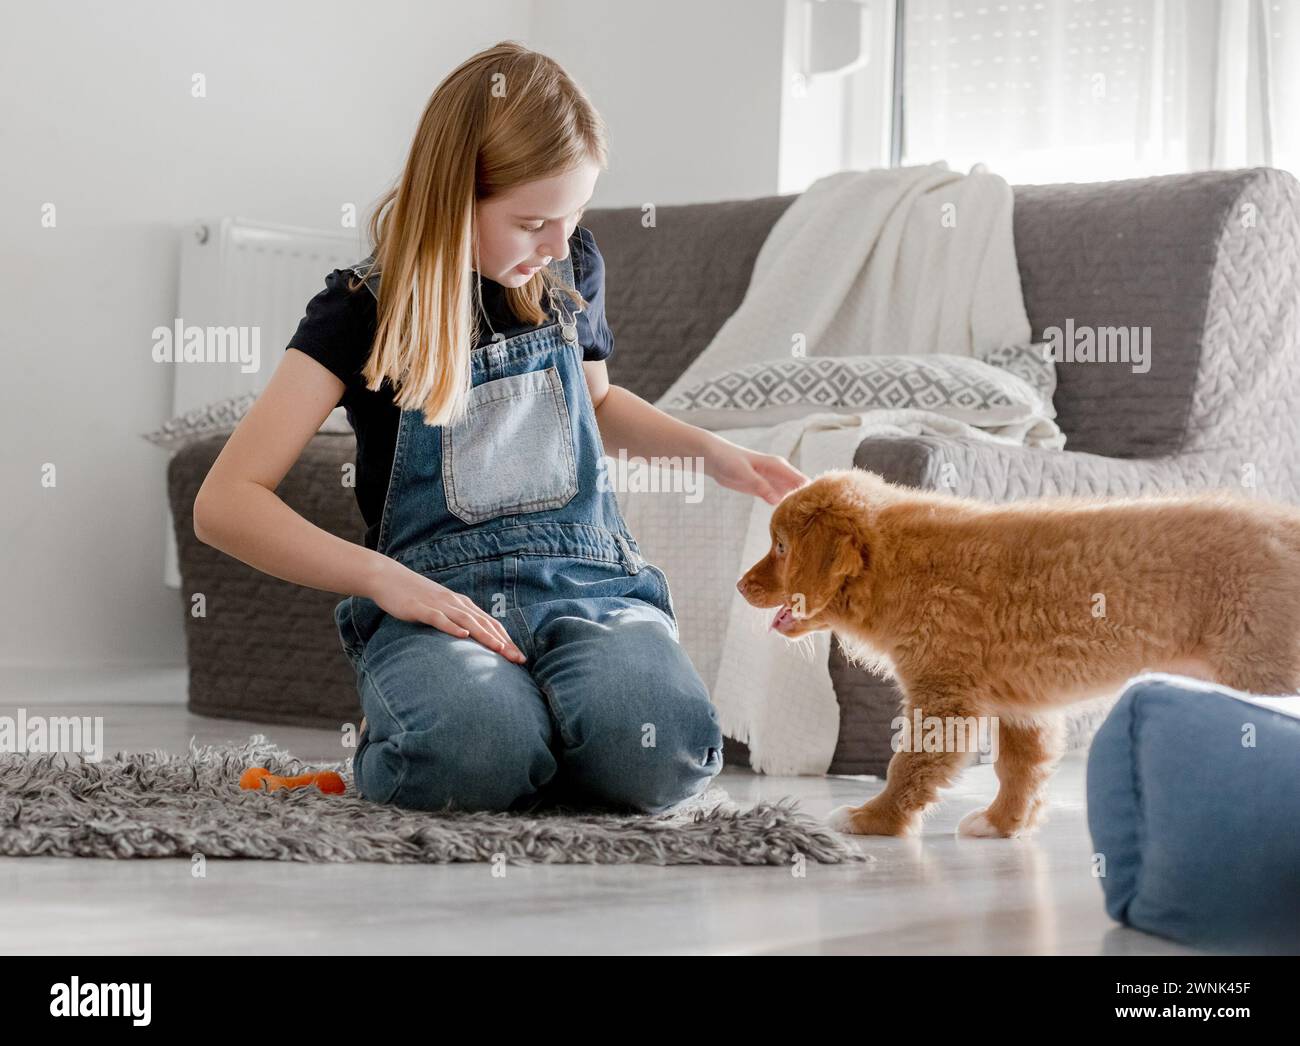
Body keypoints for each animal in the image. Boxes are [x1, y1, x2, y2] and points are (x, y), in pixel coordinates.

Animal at [738, 470, 1300, 836]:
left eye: (781, 548)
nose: (741, 586)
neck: (895, 564)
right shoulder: (1023, 703)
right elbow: (1019, 768)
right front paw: (1003, 823)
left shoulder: (943, 695)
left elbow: (910, 764)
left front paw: (875, 818)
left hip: (1260, 667)